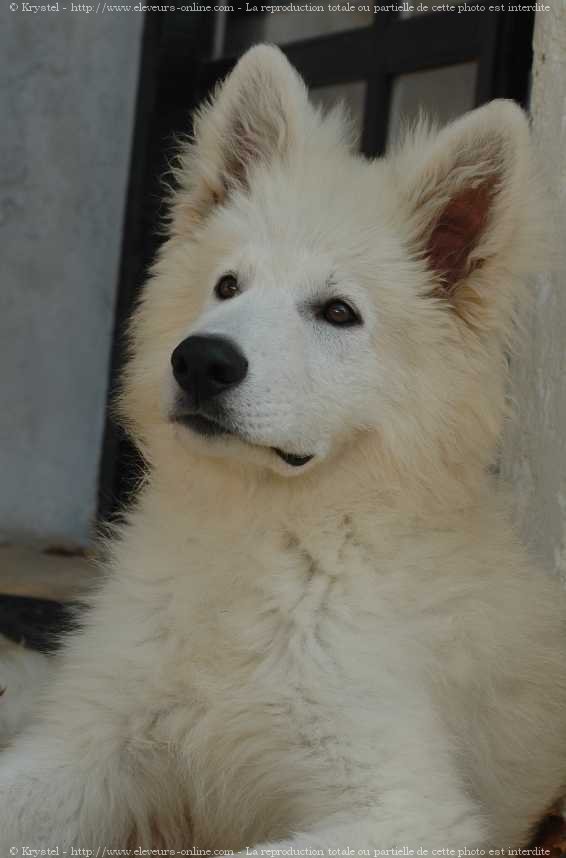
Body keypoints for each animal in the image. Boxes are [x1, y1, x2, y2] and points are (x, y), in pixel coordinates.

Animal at [1, 45, 566, 848]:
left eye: (338, 312)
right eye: (227, 285)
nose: (200, 361)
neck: (265, 533)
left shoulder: (407, 807)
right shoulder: (89, 742)